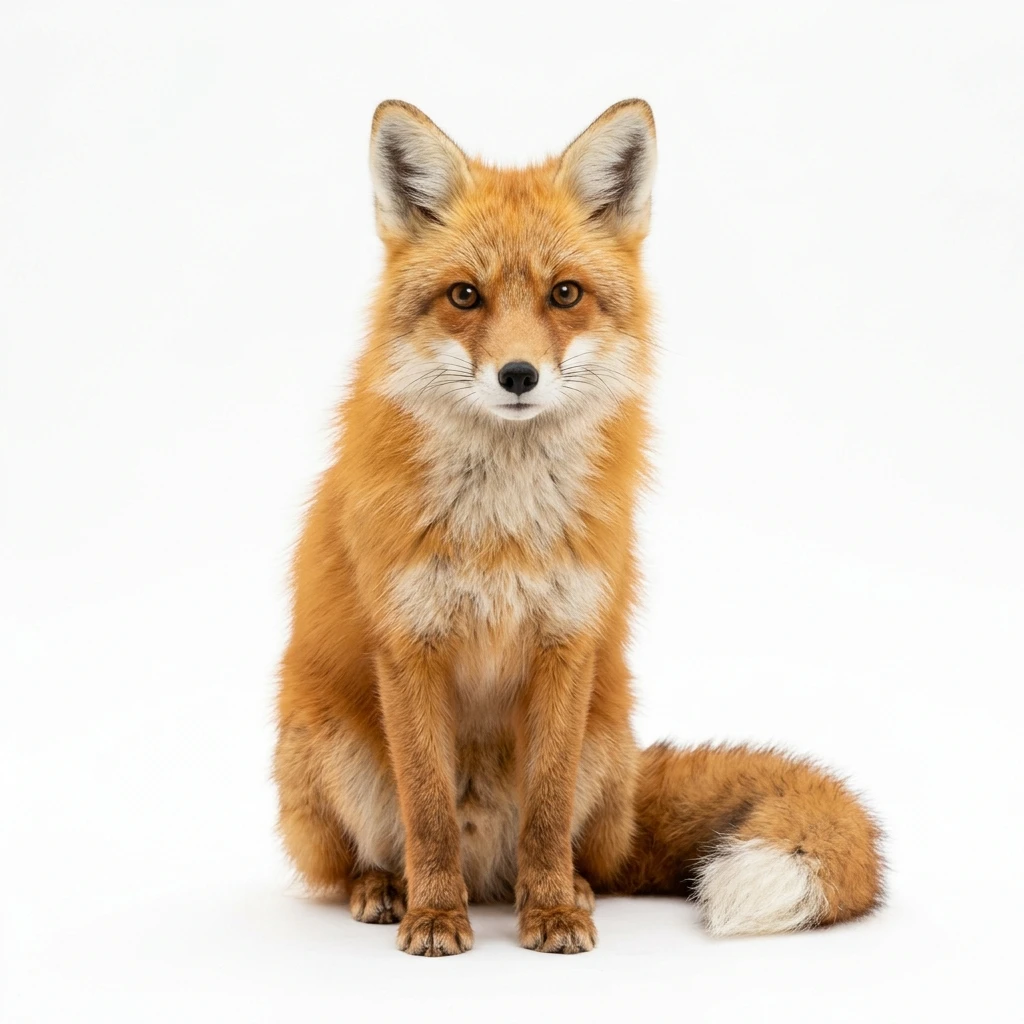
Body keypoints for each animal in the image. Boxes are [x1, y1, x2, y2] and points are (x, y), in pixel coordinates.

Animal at [273, 99, 884, 956]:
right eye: (465, 296)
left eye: (565, 294)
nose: (518, 375)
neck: (502, 527)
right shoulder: (409, 643)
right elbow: (427, 813)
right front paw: (436, 916)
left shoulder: (568, 640)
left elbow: (549, 810)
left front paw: (554, 912)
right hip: (330, 744)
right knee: (368, 855)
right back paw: (387, 889)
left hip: (606, 736)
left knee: (575, 849)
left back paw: (570, 888)